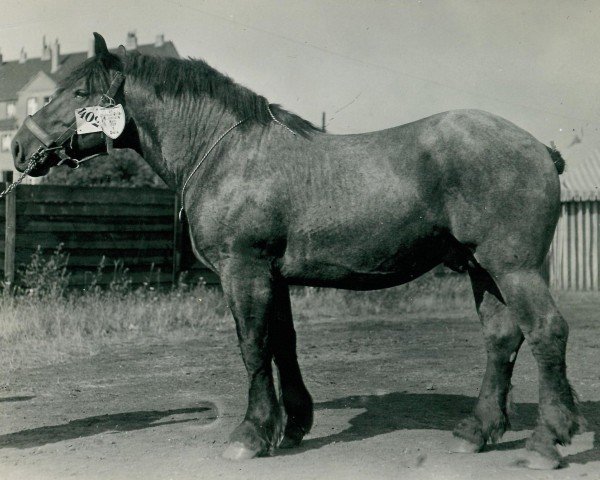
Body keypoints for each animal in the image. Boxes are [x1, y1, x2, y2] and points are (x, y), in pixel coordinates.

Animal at [9, 32, 580, 468]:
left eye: (80, 92)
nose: (17, 147)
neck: (226, 153)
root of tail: (539, 147)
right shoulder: (274, 276)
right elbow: (283, 344)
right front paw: (293, 424)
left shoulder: (244, 270)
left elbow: (253, 346)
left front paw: (251, 434)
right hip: (484, 270)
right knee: (502, 340)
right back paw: (476, 431)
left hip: (514, 268)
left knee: (546, 332)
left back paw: (545, 442)